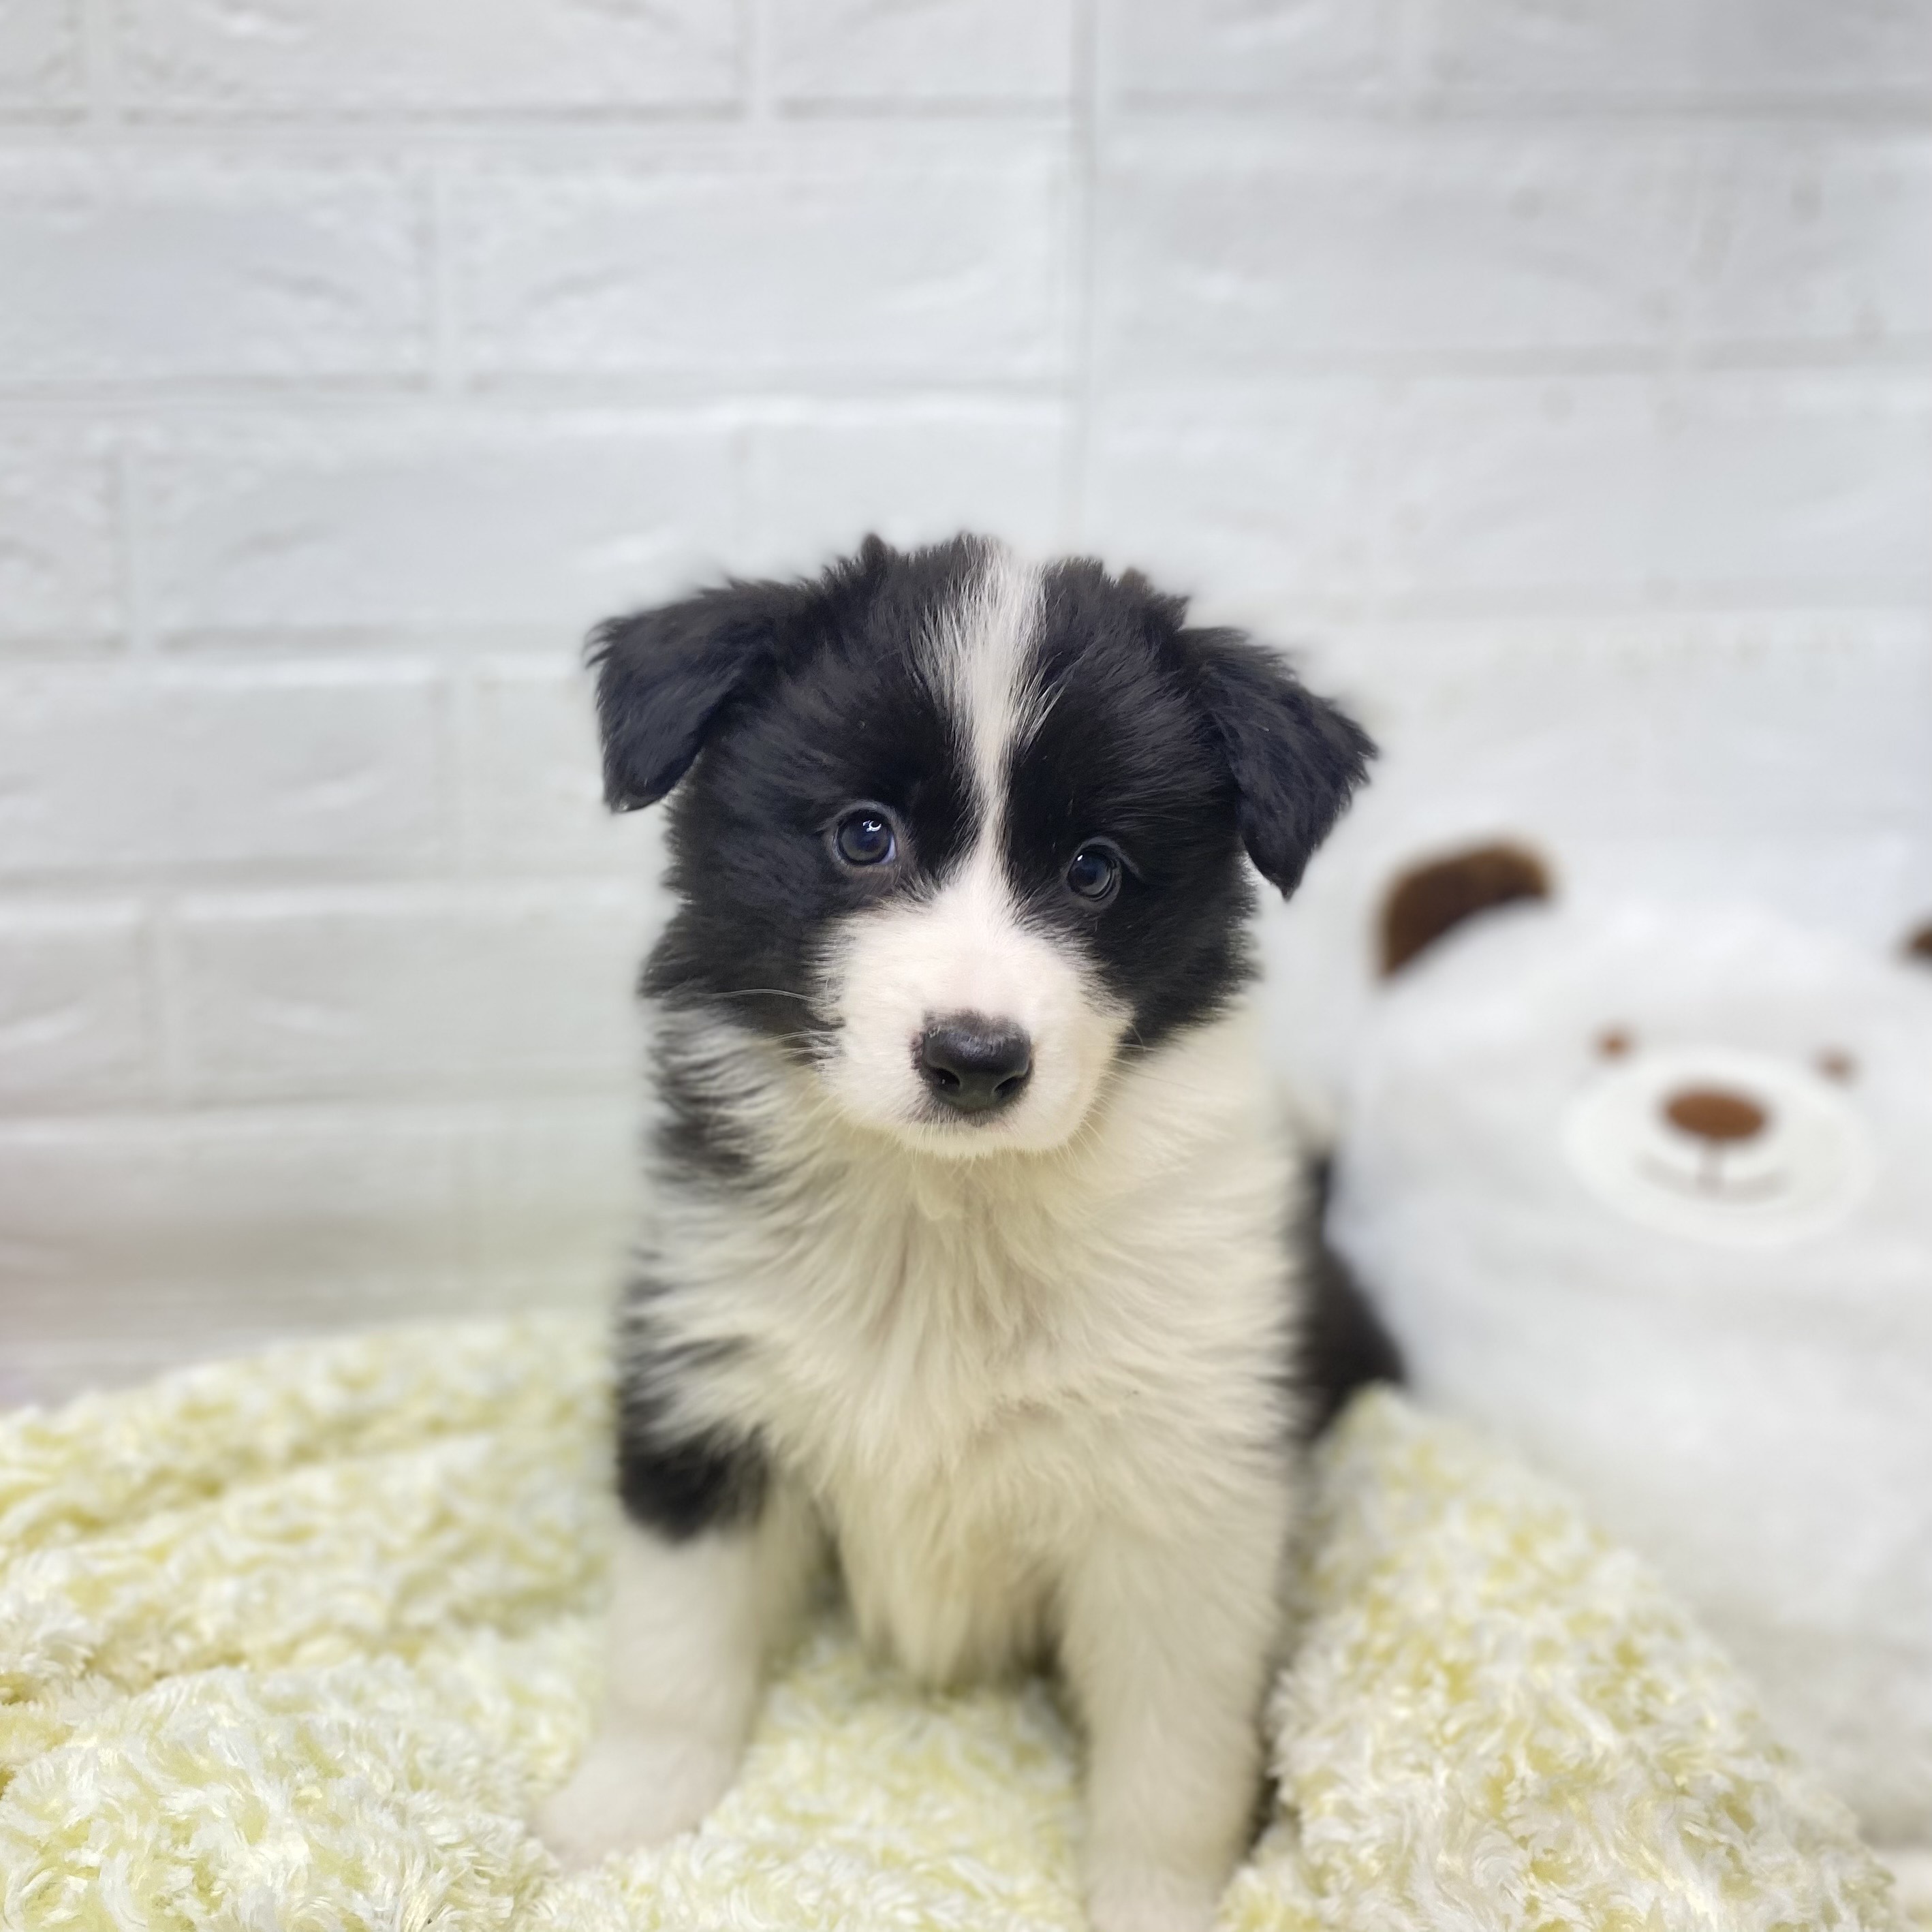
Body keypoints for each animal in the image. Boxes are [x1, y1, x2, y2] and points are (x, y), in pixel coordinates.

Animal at [536, 535, 1374, 1931]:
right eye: (863, 835)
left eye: (1095, 868)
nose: (976, 1059)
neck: (949, 1215)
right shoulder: (708, 1384)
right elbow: (673, 1641)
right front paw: (623, 1812)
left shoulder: (1185, 1491)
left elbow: (1174, 1754)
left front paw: (1159, 1901)